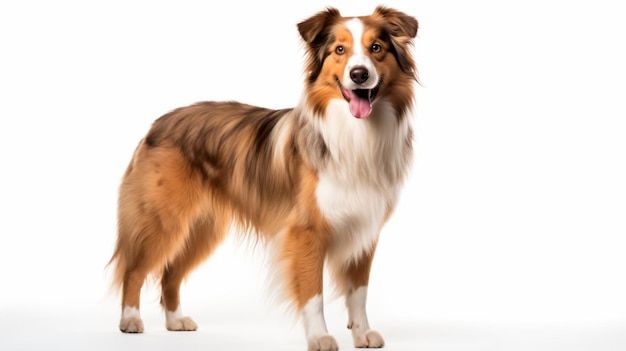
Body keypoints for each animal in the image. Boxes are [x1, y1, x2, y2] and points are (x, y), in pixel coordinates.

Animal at [109, 6, 416, 351]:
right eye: (340, 50)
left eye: (376, 48)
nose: (359, 75)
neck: (355, 133)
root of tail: (158, 122)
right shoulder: (307, 232)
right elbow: (313, 292)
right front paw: (320, 337)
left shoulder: (364, 228)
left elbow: (359, 291)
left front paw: (362, 333)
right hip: (162, 219)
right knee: (134, 270)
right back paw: (130, 320)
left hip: (203, 227)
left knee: (170, 273)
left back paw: (175, 321)